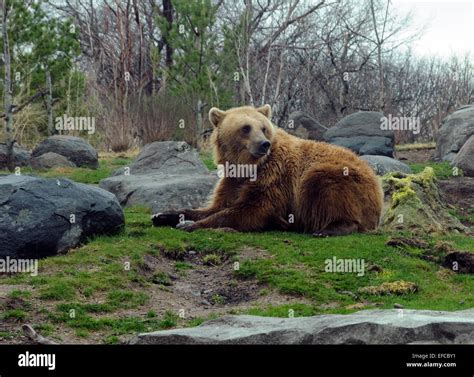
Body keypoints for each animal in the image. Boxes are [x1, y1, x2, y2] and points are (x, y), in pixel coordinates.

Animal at [154, 104, 384, 235]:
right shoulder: (232, 181)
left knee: (323, 185)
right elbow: (217, 205)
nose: (264, 144)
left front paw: (190, 225)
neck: (248, 166)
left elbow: (251, 209)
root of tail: (377, 183)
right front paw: (165, 215)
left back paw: (328, 228)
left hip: (342, 177)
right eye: (245, 128)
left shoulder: (274, 177)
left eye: (264, 127)